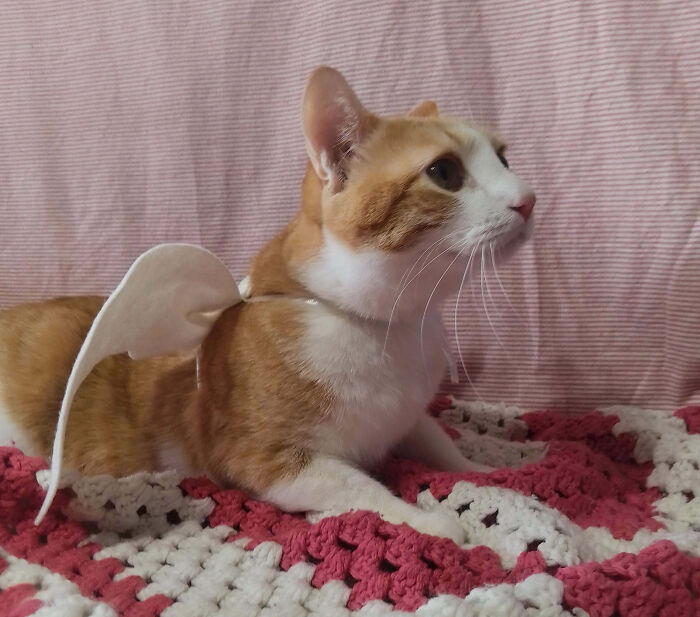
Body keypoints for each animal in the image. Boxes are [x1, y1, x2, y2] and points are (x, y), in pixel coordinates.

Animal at [0, 65, 536, 540]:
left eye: (505, 159)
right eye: (444, 172)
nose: (529, 199)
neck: (388, 328)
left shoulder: (405, 417)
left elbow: (436, 438)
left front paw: (482, 467)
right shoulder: (266, 460)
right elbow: (362, 488)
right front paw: (428, 521)